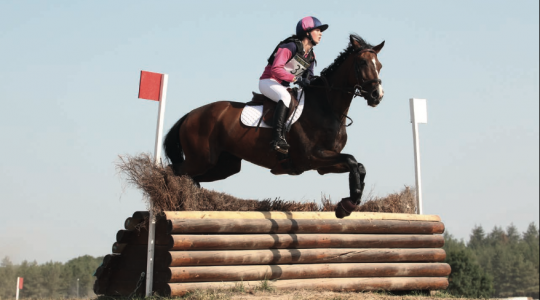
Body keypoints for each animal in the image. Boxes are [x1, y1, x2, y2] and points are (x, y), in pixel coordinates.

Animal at [163, 34, 384, 218]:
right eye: (363, 62)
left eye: (379, 65)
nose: (377, 95)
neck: (326, 106)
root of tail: (190, 115)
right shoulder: (312, 156)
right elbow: (352, 161)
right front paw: (348, 204)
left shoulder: (323, 165)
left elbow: (358, 166)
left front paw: (348, 204)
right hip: (201, 159)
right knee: (172, 170)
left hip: (224, 165)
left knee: (191, 177)